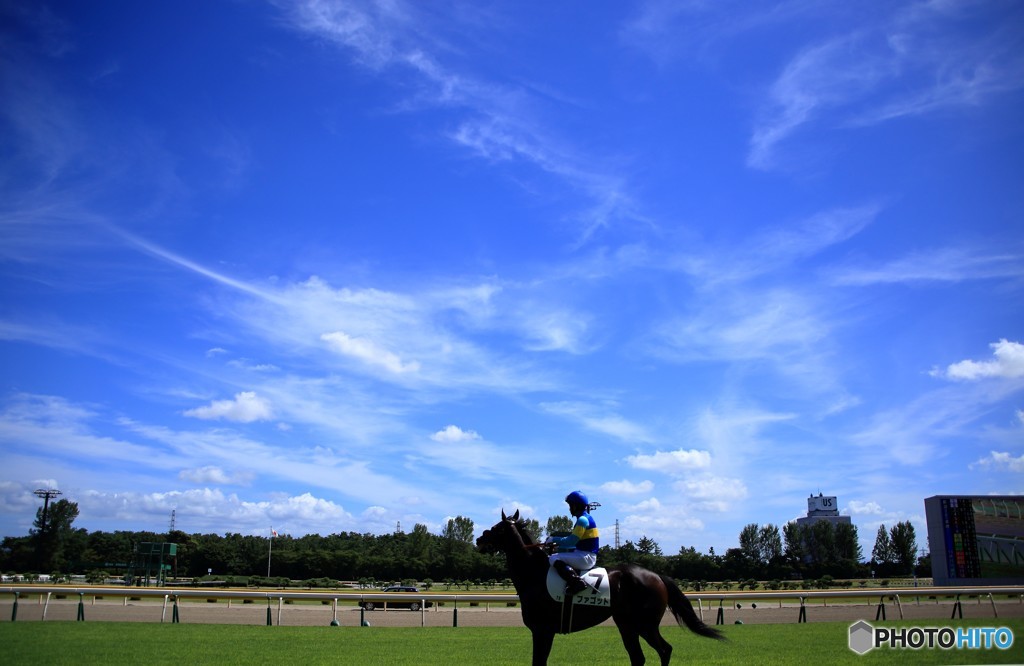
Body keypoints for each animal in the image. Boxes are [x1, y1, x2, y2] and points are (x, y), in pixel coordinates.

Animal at [475, 506, 724, 659]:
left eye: (497, 527)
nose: (479, 539)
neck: (534, 574)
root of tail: (657, 576)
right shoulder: (543, 632)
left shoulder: (542, 630)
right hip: (627, 624)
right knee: (638, 657)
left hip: (646, 624)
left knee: (664, 650)